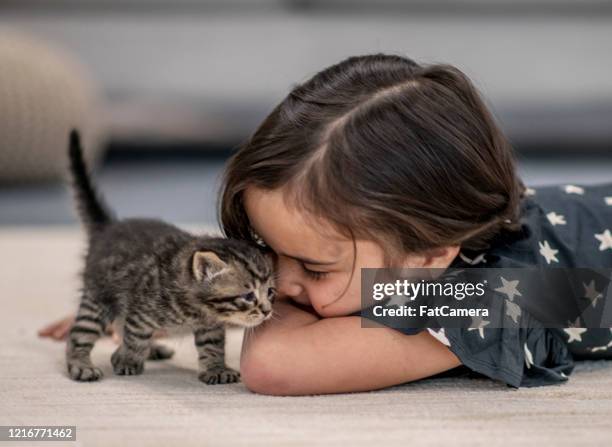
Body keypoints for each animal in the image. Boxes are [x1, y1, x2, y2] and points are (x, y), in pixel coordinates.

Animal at [65, 130, 274, 384]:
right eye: (248, 296)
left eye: (270, 292)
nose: (267, 311)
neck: (197, 308)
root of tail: (108, 228)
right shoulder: (141, 312)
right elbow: (135, 338)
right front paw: (127, 360)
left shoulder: (210, 326)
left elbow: (213, 346)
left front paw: (216, 368)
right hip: (98, 298)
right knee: (80, 333)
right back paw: (81, 365)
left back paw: (152, 349)